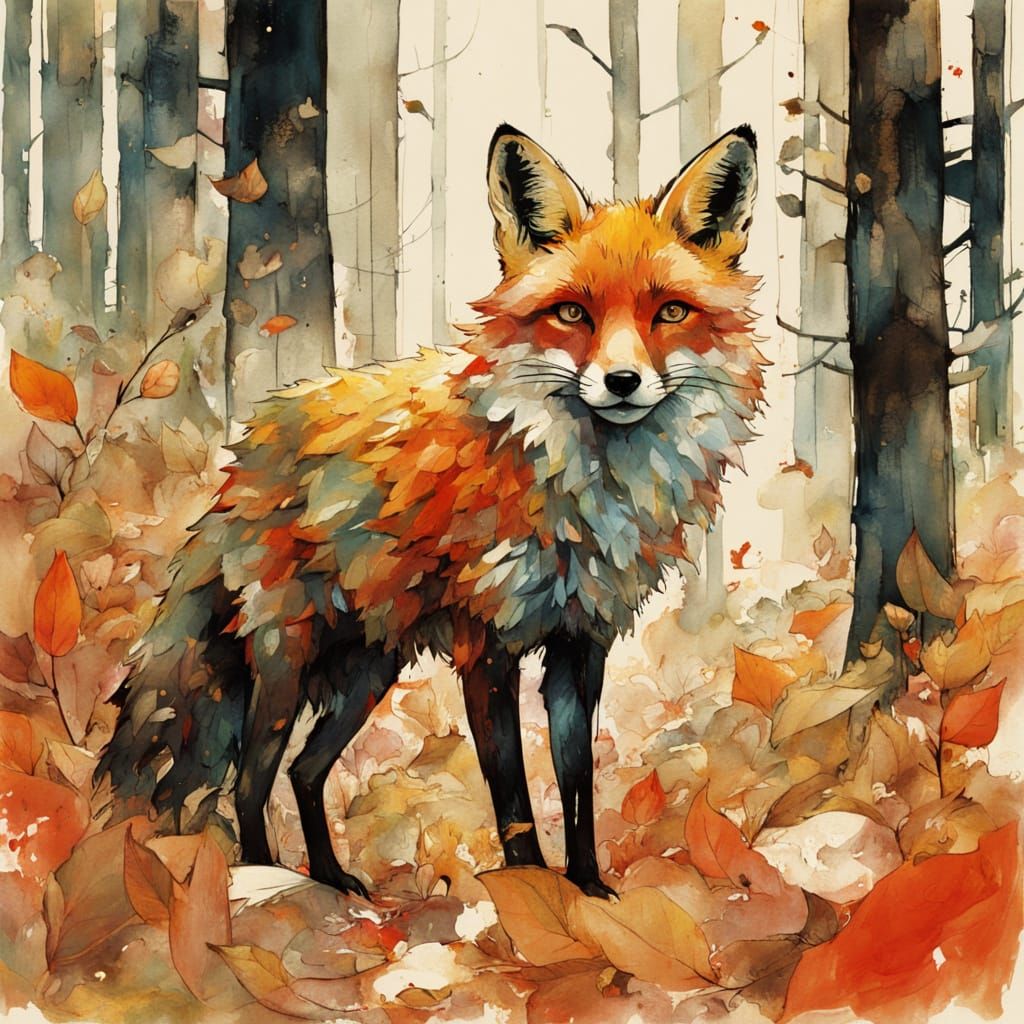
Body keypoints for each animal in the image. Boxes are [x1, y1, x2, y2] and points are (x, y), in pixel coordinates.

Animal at [99, 123, 764, 899]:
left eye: (670, 312)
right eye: (573, 312)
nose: (623, 381)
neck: (582, 490)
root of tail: (246, 451)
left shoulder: (581, 645)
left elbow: (577, 793)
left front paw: (590, 899)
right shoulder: (487, 647)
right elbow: (513, 806)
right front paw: (529, 900)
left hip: (367, 671)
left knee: (304, 771)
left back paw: (333, 879)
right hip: (286, 666)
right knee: (250, 781)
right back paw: (267, 878)